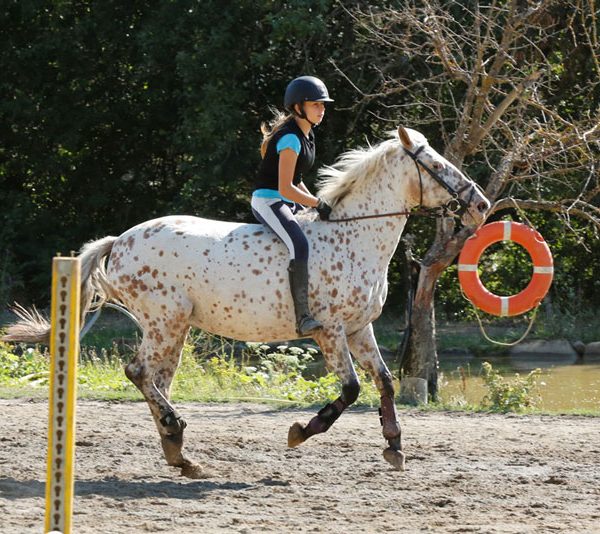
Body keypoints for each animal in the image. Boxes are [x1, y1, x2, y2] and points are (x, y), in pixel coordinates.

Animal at [3, 125, 492, 478]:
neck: (355, 236)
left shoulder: (358, 328)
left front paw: (394, 446)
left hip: (173, 328)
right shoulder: (330, 330)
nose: (481, 205)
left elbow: (386, 382)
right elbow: (351, 389)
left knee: (157, 379)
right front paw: (301, 432)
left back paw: (179, 453)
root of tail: (120, 241)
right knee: (140, 372)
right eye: (436, 164)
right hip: (166, 320)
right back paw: (177, 434)